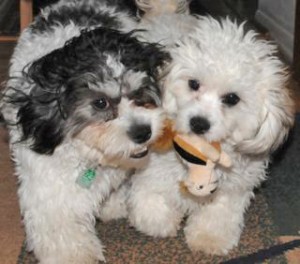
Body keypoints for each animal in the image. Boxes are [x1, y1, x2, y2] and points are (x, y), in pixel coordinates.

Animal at [0, 0, 169, 262]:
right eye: (100, 103)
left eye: (138, 91)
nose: (143, 132)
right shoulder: (46, 181)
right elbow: (59, 221)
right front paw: (73, 255)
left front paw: (113, 204)